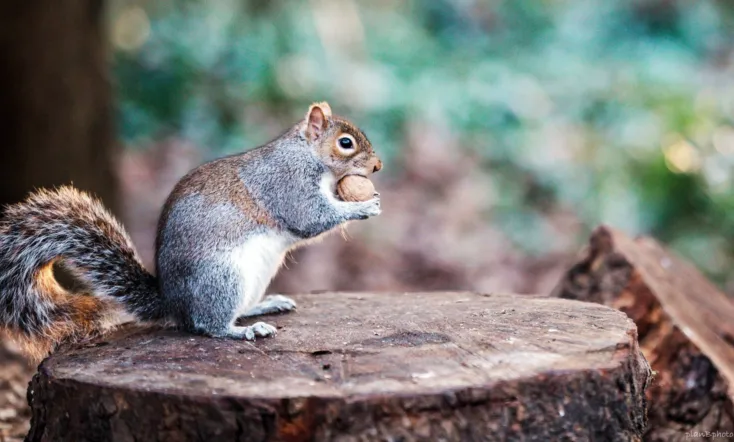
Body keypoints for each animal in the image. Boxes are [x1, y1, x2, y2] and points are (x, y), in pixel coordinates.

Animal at [0, 102, 382, 362]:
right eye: (345, 143)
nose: (378, 166)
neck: (307, 154)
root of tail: (172, 302)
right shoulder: (288, 184)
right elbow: (310, 218)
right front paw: (363, 207)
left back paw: (264, 306)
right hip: (221, 277)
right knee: (206, 325)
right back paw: (243, 330)